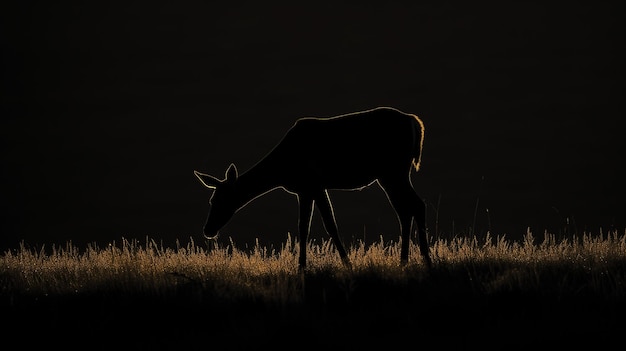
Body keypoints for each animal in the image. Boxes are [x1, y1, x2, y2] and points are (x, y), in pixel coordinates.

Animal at [194, 106, 428, 270]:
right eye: (211, 200)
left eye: (220, 200)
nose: (208, 230)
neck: (283, 169)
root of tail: (415, 122)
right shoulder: (308, 189)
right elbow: (305, 227)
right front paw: (303, 266)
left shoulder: (312, 184)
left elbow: (326, 226)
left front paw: (344, 264)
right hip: (392, 174)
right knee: (405, 210)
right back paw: (405, 260)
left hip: (394, 171)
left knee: (416, 205)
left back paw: (426, 259)